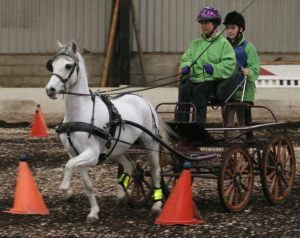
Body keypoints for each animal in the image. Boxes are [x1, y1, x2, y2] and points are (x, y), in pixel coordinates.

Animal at [44, 41, 163, 223]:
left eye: (68, 65)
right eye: (52, 65)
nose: (50, 89)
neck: (81, 113)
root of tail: (142, 99)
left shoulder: (91, 154)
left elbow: (69, 165)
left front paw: (65, 189)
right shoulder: (75, 153)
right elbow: (86, 183)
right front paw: (93, 212)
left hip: (150, 143)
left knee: (156, 171)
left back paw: (157, 205)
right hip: (118, 147)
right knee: (129, 166)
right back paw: (122, 195)